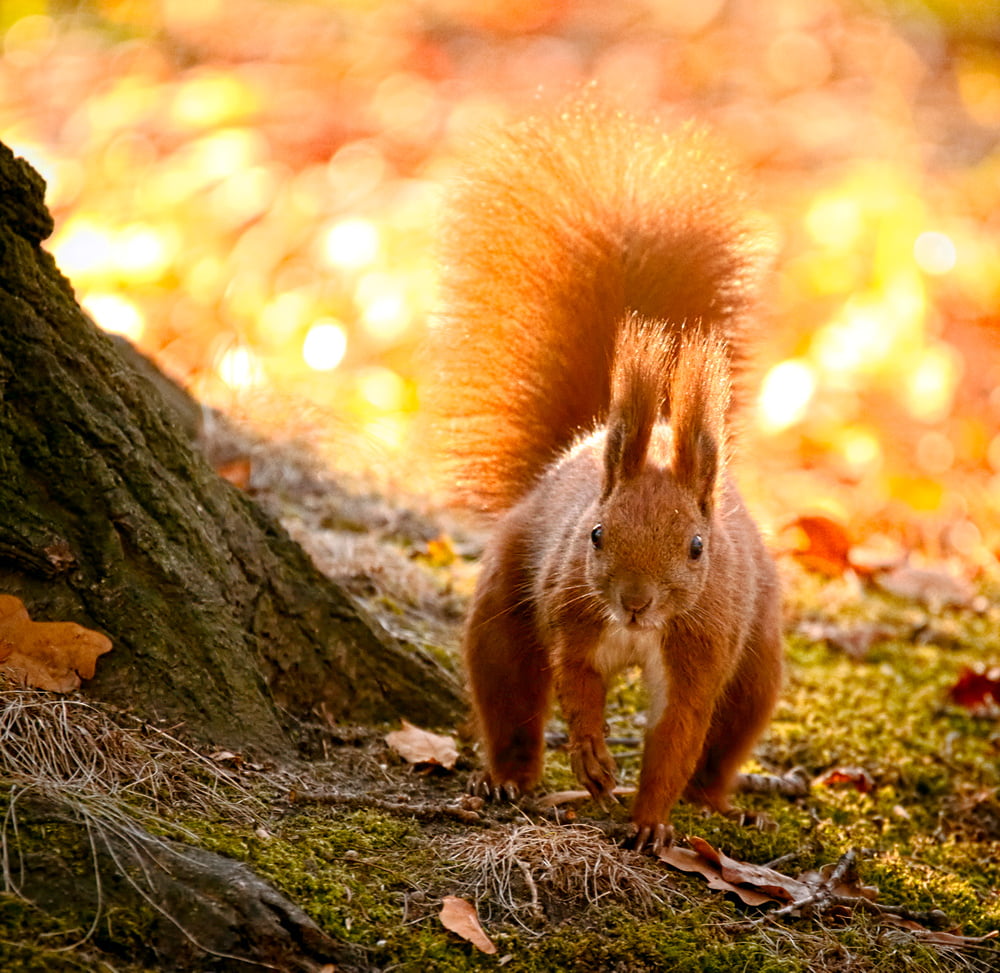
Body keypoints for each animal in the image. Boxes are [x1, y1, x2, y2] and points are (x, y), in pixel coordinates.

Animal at [421, 101, 783, 853]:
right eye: (595, 533)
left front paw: (649, 821)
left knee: (724, 737)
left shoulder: (702, 648)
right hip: (504, 605)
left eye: (697, 547)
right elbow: (576, 683)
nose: (636, 601)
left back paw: (714, 803)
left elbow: (679, 732)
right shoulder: (572, 609)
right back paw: (507, 777)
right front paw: (591, 757)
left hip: (757, 658)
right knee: (510, 692)